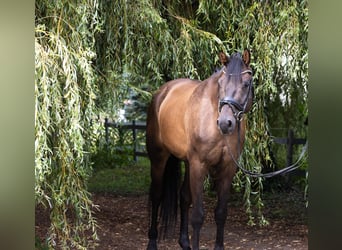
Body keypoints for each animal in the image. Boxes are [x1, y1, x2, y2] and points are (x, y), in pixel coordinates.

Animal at [146, 49, 255, 250]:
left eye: (245, 84)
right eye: (220, 84)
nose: (225, 123)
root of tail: (162, 92)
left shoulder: (227, 168)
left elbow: (221, 213)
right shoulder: (200, 165)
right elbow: (197, 215)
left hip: (188, 163)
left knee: (184, 197)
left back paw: (184, 243)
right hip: (159, 158)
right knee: (156, 195)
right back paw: (152, 242)